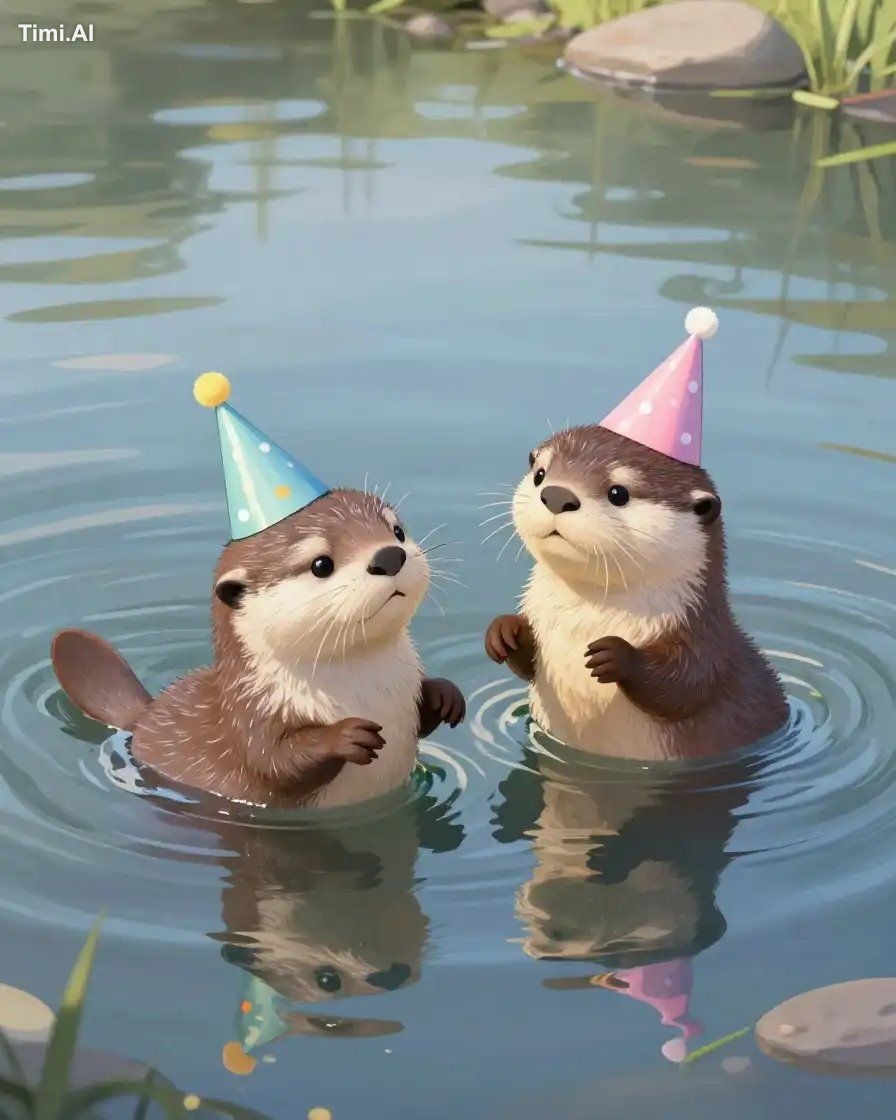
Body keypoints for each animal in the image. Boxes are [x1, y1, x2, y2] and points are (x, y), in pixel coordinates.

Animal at [52, 490, 465, 808]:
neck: (368, 688)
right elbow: (274, 763)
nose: (389, 556)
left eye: (397, 530)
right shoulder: (251, 715)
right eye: (321, 564)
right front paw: (343, 737)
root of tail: (143, 717)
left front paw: (442, 695)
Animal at [485, 425, 788, 759]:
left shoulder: (705, 639)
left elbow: (685, 686)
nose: (557, 495)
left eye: (618, 493)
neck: (584, 622)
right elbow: (527, 666)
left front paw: (618, 656)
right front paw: (505, 631)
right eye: (540, 473)